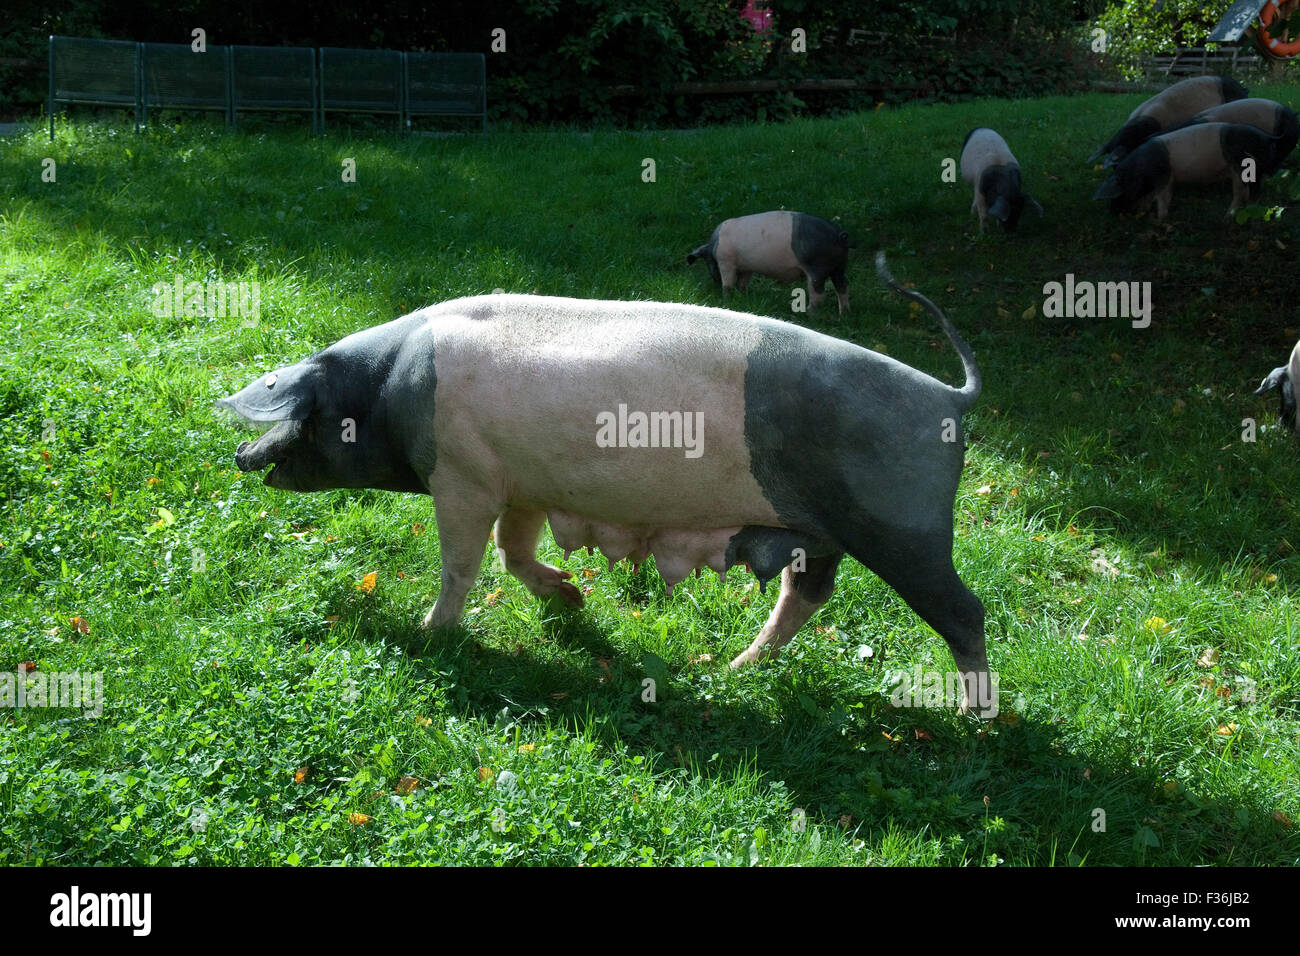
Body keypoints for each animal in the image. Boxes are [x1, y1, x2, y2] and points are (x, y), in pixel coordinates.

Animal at [220, 254, 993, 717]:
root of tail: (951, 397)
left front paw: (430, 634)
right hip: (823, 532)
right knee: (807, 593)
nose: (239, 453)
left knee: (964, 610)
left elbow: (462, 562)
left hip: (903, 529)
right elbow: (513, 551)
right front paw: (571, 598)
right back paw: (734, 670)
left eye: (304, 417)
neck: (390, 392)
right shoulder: (523, 485)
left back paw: (974, 719)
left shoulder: (465, 477)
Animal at [686, 209, 847, 314]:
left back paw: (809, 314)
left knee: (819, 295)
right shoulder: (747, 268)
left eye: (708, 262)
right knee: (842, 287)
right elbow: (742, 284)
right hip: (839, 266)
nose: (714, 283)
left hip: (816, 268)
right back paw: (843, 314)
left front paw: (726, 302)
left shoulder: (726, 262)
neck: (713, 247)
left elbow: (728, 285)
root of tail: (839, 235)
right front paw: (743, 297)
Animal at [1092, 121, 1284, 221]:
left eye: (1117, 194)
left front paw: (1159, 221)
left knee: (1247, 193)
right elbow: (1150, 197)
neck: (1138, 171)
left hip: (1246, 167)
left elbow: (1163, 198)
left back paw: (1231, 216)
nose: (1111, 212)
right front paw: (1144, 211)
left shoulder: (1164, 176)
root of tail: (1268, 136)